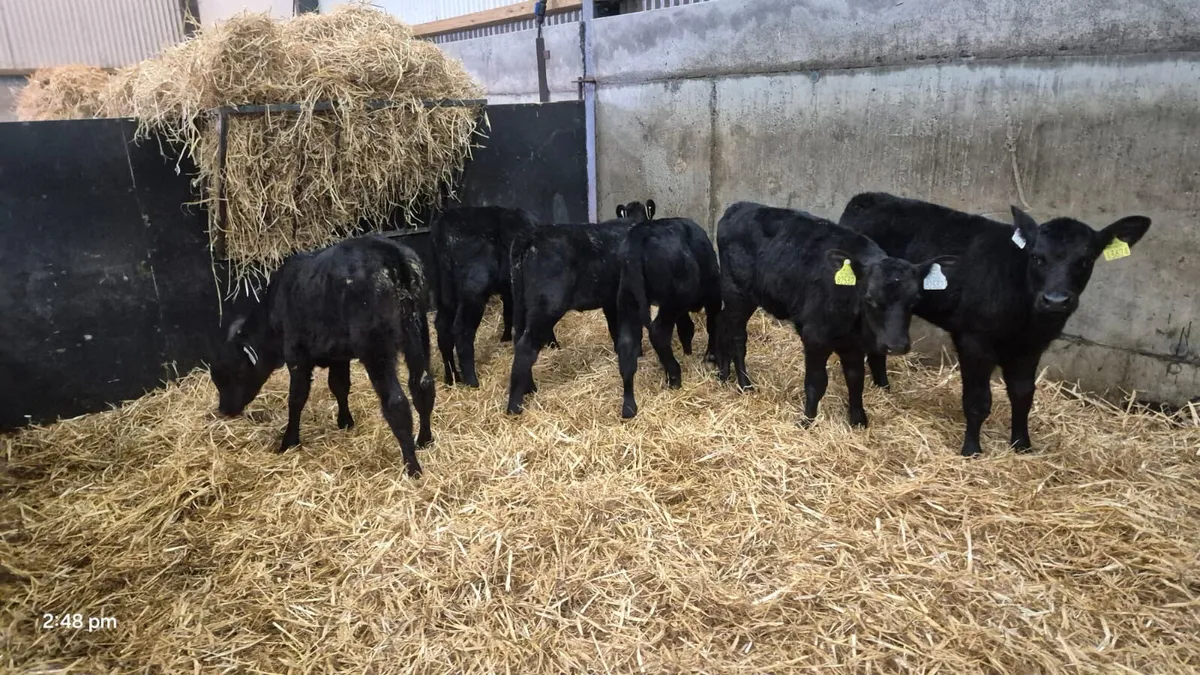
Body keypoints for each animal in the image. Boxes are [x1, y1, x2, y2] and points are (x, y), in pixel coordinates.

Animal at [210, 234, 435, 477]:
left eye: (230, 374)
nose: (224, 410)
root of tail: (391, 254)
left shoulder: (296, 354)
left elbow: (297, 398)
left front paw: (289, 441)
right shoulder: (339, 356)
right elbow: (339, 386)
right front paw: (345, 421)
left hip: (375, 346)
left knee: (396, 403)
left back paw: (412, 467)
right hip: (418, 331)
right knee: (423, 385)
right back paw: (424, 440)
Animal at [430, 205, 558, 387]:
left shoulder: (510, 290)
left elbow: (509, 314)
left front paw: (505, 339)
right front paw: (554, 344)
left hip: (445, 295)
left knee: (443, 329)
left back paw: (452, 378)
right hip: (473, 292)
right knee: (462, 330)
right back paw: (472, 381)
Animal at [615, 217, 722, 418]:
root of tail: (642, 231)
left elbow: (686, 327)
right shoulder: (713, 295)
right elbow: (712, 325)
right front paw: (710, 357)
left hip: (629, 300)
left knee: (627, 346)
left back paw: (629, 406)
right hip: (673, 300)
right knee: (658, 332)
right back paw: (674, 377)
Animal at [716, 201, 957, 428]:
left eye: (914, 300)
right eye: (870, 298)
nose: (896, 345)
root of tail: (740, 206)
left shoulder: (854, 345)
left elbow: (855, 378)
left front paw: (858, 420)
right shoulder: (815, 337)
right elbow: (816, 382)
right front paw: (807, 421)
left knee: (723, 324)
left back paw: (723, 374)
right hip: (737, 292)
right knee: (738, 338)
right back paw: (745, 384)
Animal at [839, 192, 1151, 457]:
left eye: (1085, 260)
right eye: (1037, 257)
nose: (1056, 300)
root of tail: (866, 198)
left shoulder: (1032, 347)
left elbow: (1023, 394)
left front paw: (1022, 445)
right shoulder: (974, 340)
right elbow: (978, 401)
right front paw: (972, 449)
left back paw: (884, 386)